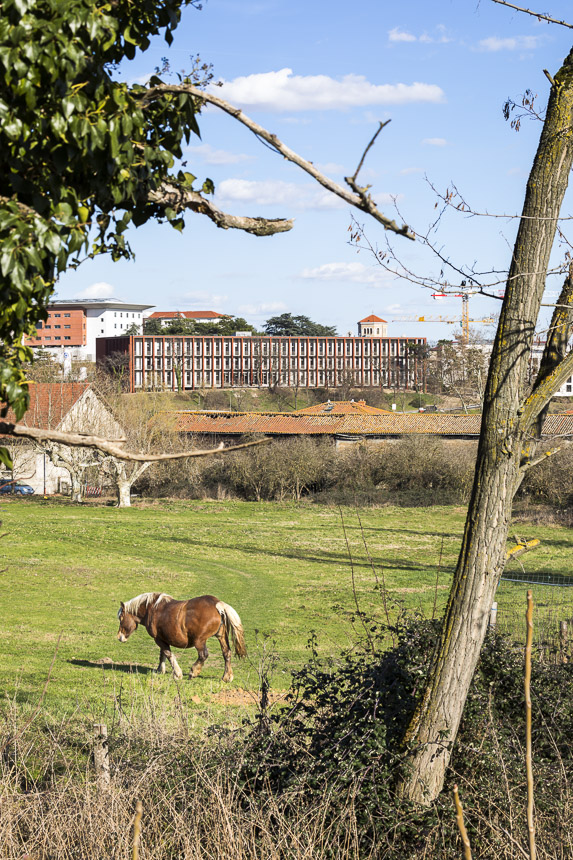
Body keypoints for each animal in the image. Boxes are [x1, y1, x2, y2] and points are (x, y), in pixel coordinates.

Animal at [118, 592, 246, 680]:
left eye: (121, 618)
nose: (120, 637)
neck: (152, 609)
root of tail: (218, 604)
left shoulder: (158, 639)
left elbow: (168, 654)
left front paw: (177, 674)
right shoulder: (162, 639)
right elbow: (162, 655)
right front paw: (160, 670)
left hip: (199, 640)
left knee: (203, 655)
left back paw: (193, 672)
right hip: (221, 636)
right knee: (226, 653)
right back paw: (227, 677)